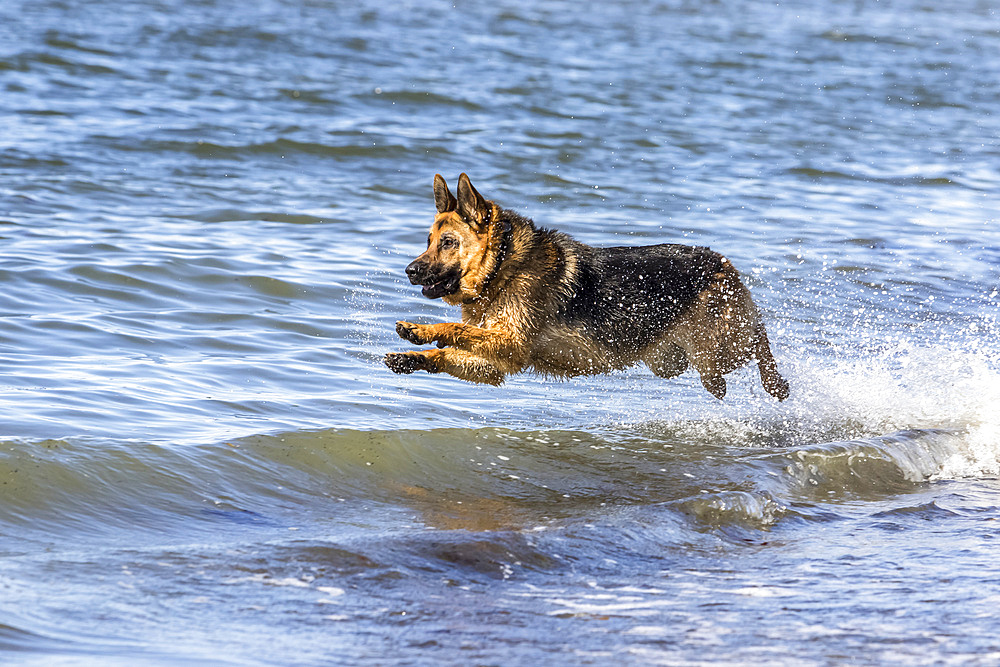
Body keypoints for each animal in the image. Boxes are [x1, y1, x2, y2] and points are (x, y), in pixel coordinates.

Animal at [382, 174, 788, 402]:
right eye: (428, 241)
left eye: (448, 243)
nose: (409, 271)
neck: (505, 266)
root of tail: (722, 261)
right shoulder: (499, 361)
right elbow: (453, 352)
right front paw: (413, 357)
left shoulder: (510, 342)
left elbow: (454, 328)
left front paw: (420, 330)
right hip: (673, 362)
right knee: (728, 364)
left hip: (719, 346)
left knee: (759, 337)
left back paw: (776, 382)